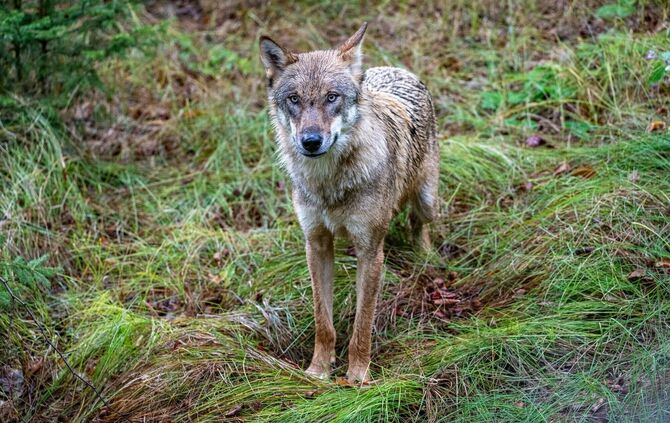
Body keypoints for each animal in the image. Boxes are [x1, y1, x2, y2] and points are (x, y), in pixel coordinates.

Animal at [259, 22, 438, 383]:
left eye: (332, 97)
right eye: (294, 100)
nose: (311, 141)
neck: (329, 183)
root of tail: (396, 70)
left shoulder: (370, 252)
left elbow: (362, 324)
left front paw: (357, 378)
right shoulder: (316, 243)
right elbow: (323, 321)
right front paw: (318, 370)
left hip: (426, 200)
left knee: (419, 223)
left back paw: (425, 257)